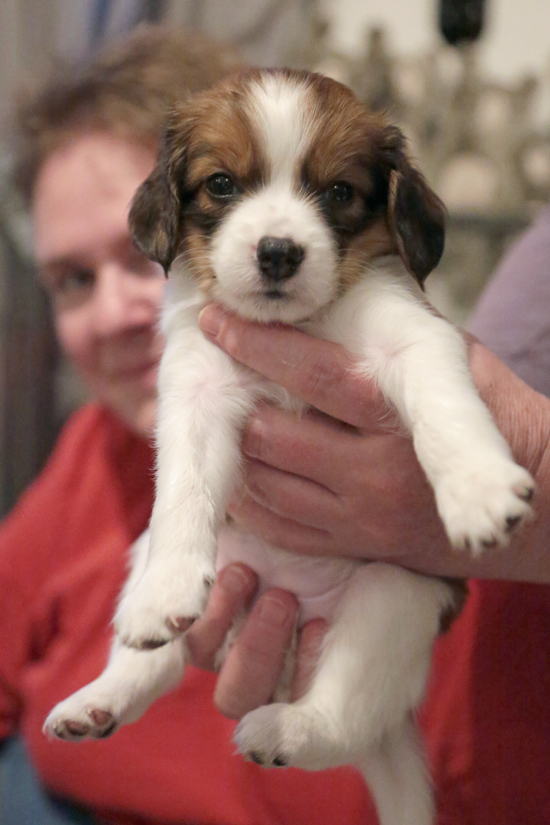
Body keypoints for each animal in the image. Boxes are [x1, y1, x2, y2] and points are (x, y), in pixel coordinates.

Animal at [45, 71, 536, 824]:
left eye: (338, 192)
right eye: (221, 184)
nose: (277, 251)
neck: (296, 325)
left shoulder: (409, 333)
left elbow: (444, 408)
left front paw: (477, 489)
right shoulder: (195, 385)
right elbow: (182, 491)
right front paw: (164, 592)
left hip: (392, 594)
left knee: (342, 721)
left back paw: (288, 727)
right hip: (172, 561)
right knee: (156, 659)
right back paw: (99, 697)